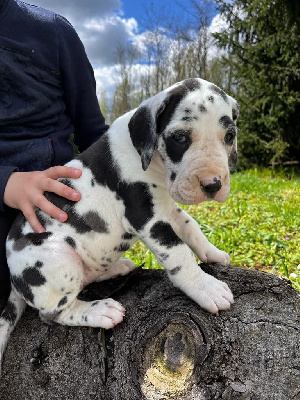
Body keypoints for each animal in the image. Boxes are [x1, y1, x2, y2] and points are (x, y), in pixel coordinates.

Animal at [0, 78, 239, 372]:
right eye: (180, 137)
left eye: (229, 136)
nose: (213, 184)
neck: (151, 161)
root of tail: (14, 279)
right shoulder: (146, 216)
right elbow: (178, 252)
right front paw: (205, 287)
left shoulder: (167, 209)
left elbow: (190, 227)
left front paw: (212, 253)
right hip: (58, 258)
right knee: (53, 313)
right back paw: (99, 310)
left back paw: (117, 267)